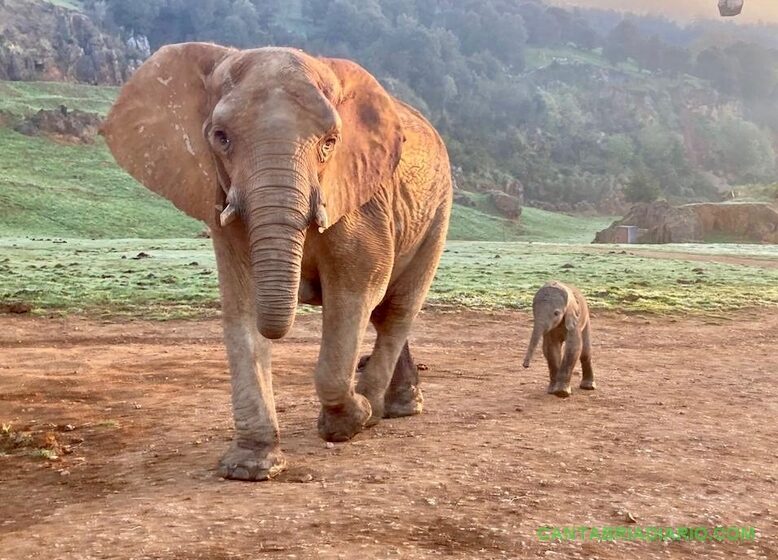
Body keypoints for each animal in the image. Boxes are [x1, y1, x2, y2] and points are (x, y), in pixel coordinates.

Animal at [102, 44, 452, 482]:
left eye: (330, 142)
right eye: (221, 138)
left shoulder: (361, 201)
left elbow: (355, 291)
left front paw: (349, 421)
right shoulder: (221, 200)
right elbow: (241, 305)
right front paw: (249, 468)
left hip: (438, 211)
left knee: (395, 309)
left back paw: (379, 411)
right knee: (384, 312)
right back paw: (391, 406)